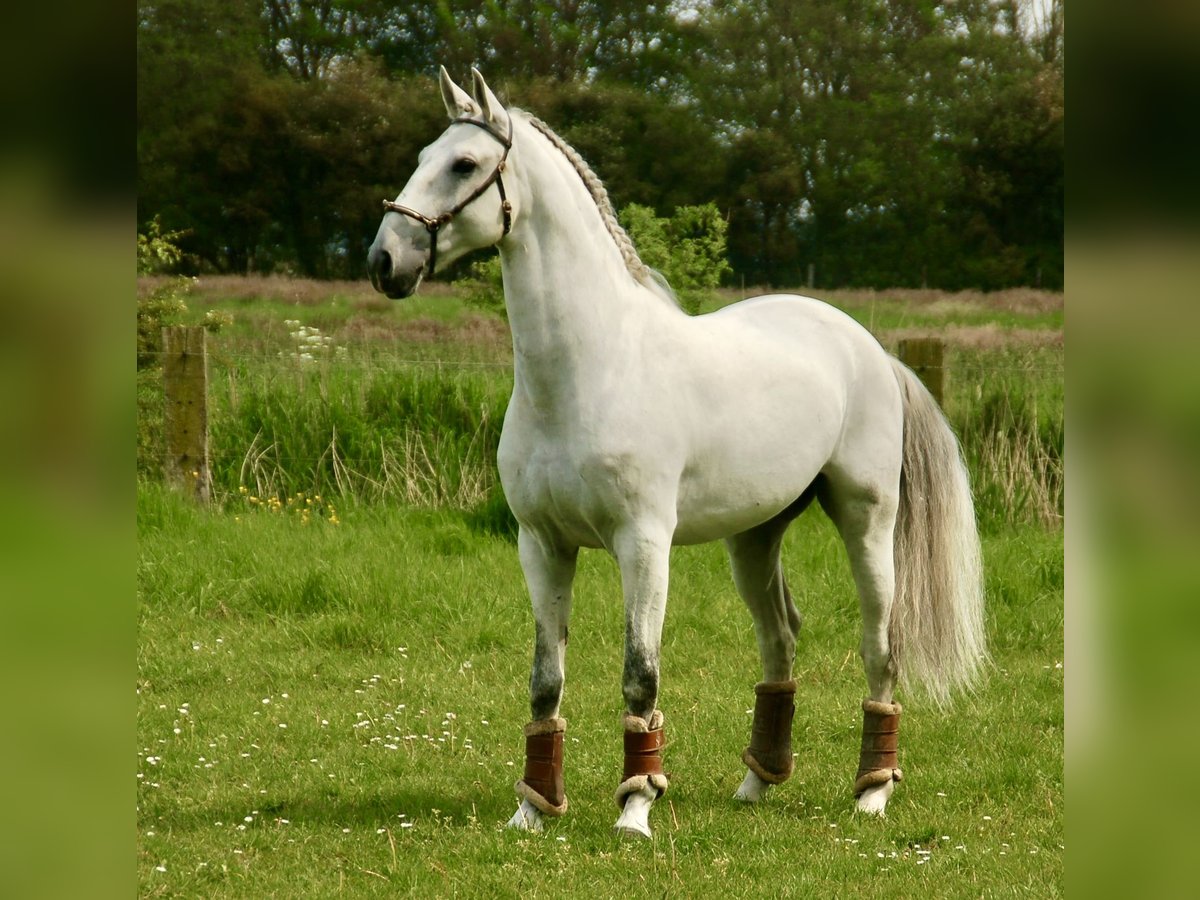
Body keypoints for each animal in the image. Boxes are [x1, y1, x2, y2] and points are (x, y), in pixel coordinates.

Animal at [364, 68, 984, 840]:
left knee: (880, 645)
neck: (592, 369)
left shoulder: (643, 544)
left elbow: (640, 674)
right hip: (755, 537)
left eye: (464, 164)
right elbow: (545, 681)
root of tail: (869, 348)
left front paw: (636, 807)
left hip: (866, 522)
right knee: (780, 639)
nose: (385, 261)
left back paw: (871, 792)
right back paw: (756, 783)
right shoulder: (541, 544)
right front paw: (532, 810)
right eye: (425, 155)